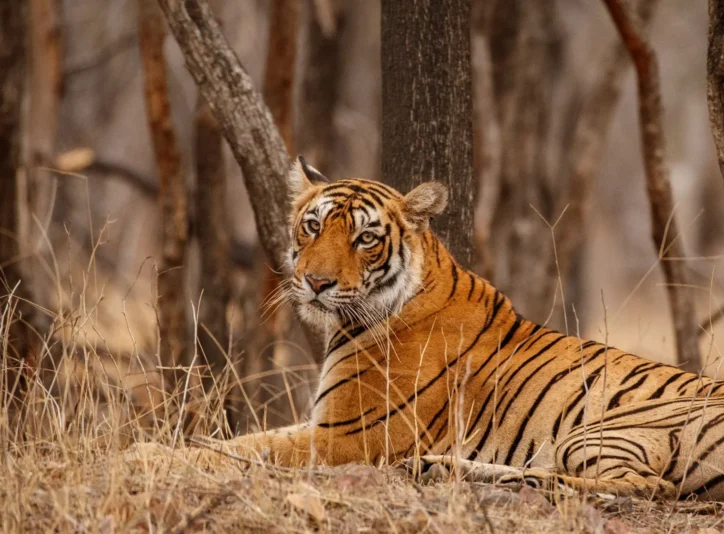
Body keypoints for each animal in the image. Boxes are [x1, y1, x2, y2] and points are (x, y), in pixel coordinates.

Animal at [129, 156, 724, 501]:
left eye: (366, 238)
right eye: (313, 226)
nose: (315, 283)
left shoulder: (349, 436)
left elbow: (245, 449)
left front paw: (145, 455)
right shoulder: (326, 422)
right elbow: (243, 438)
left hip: (606, 428)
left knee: (642, 486)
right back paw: (439, 469)